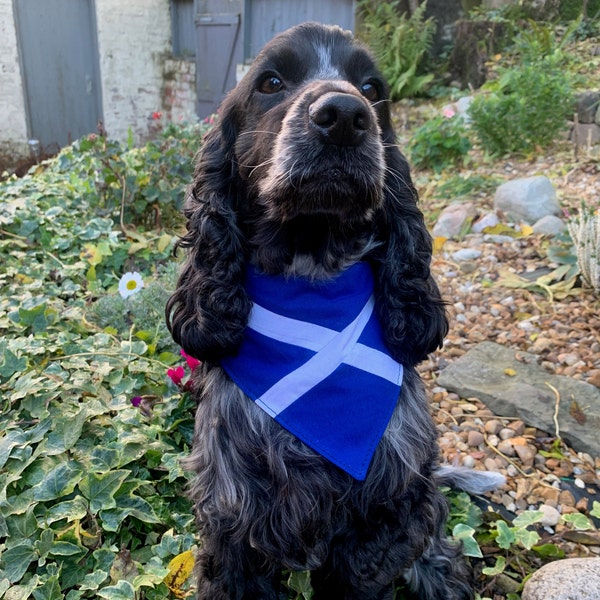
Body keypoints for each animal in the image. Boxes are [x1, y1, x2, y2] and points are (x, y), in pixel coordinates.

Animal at [165, 22, 502, 600]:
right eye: (270, 82)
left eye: (372, 88)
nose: (344, 115)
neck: (312, 273)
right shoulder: (235, 520)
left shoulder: (383, 518)